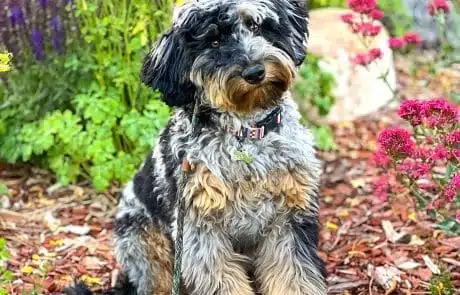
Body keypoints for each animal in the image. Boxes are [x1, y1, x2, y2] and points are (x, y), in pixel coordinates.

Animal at [67, 0, 328, 295]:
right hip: (145, 243)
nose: (255, 72)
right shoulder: (200, 229)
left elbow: (295, 276)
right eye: (214, 42)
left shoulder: (289, 219)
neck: (245, 135)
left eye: (255, 26)